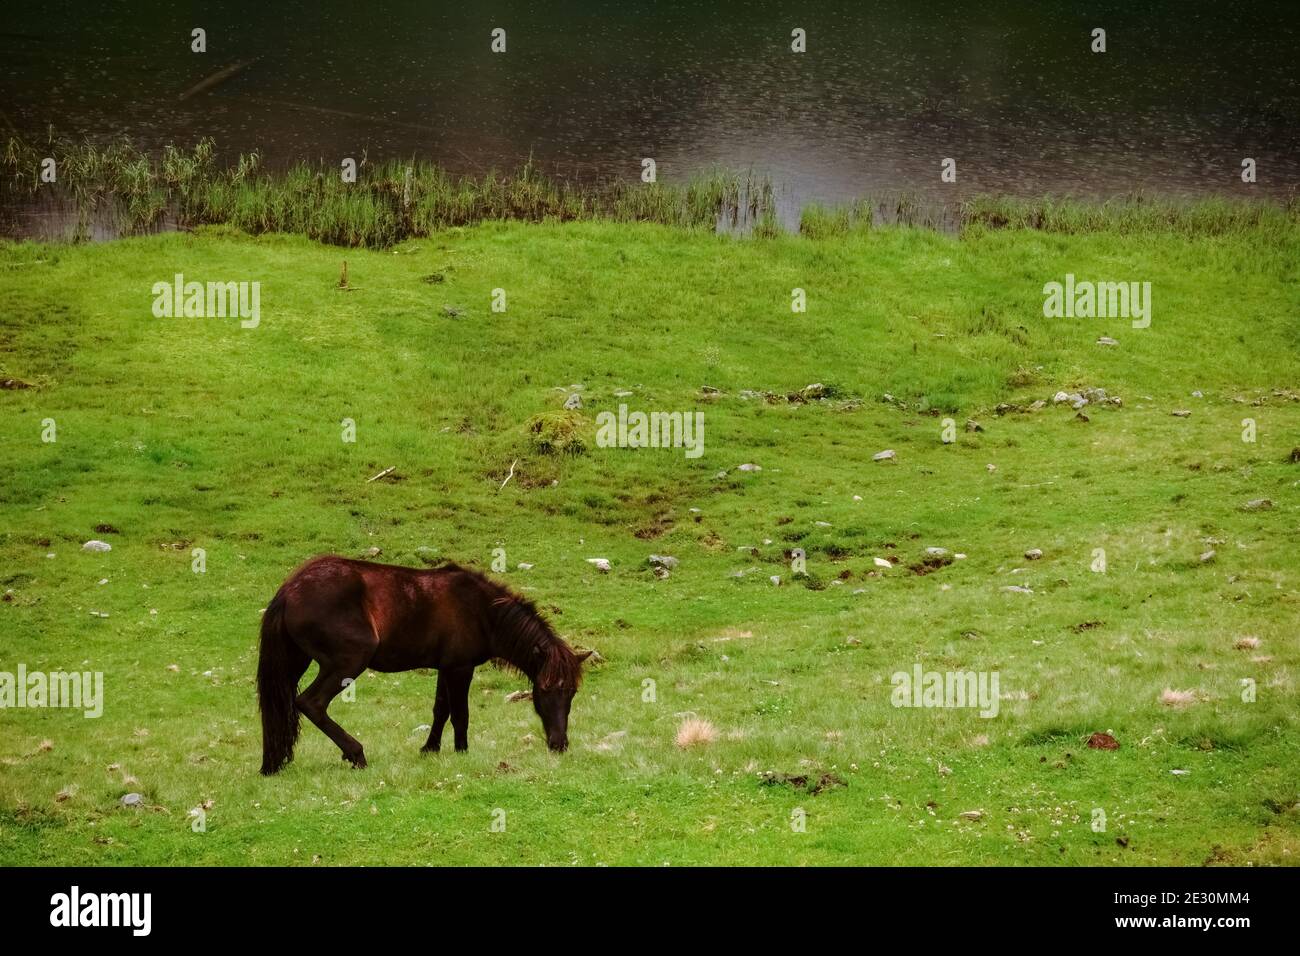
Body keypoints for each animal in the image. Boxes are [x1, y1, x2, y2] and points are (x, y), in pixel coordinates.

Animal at [256, 561, 592, 770]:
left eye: (572, 693)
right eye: (543, 690)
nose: (559, 744)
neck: (482, 611)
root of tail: (289, 590)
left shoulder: (446, 667)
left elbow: (440, 710)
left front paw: (430, 748)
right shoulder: (460, 668)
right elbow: (460, 714)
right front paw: (461, 751)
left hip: (297, 662)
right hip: (346, 663)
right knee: (311, 703)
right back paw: (355, 753)